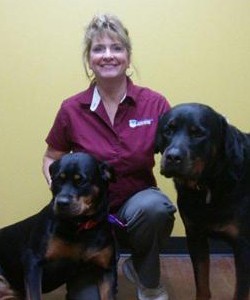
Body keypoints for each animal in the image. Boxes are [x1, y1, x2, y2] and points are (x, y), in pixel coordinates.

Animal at [0, 154, 115, 298]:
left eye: (81, 181)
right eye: (57, 179)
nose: (61, 202)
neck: (79, 226)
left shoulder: (106, 269)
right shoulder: (32, 260)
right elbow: (35, 294)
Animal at [155, 103, 250, 300]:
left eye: (198, 134)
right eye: (168, 130)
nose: (172, 157)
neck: (209, 184)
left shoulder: (244, 246)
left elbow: (241, 291)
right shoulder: (195, 236)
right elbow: (202, 282)